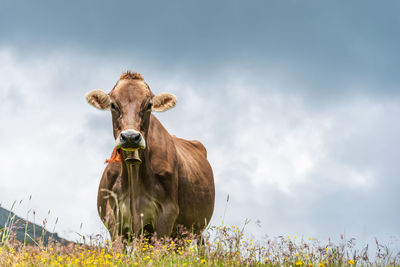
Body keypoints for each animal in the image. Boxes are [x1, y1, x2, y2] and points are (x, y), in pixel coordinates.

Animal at [85, 70, 214, 241]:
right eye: (113, 105)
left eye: (149, 105)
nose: (130, 137)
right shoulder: (112, 215)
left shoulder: (167, 213)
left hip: (197, 228)